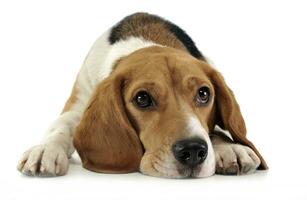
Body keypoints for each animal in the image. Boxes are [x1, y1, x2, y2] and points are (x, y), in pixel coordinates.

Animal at [16, 12, 268, 178]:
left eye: (204, 94)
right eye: (142, 98)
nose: (194, 151)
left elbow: (213, 130)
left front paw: (229, 147)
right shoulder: (78, 102)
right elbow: (60, 127)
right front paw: (46, 150)